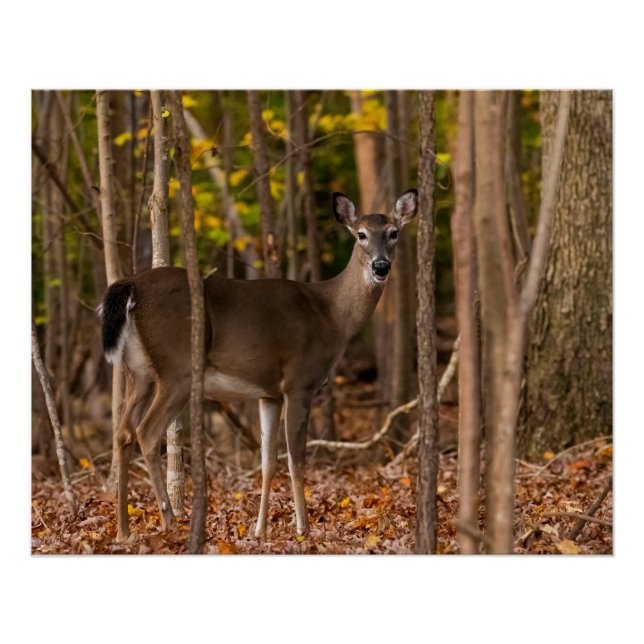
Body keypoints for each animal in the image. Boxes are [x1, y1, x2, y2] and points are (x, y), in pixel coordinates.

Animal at [98, 189, 418, 542]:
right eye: (361, 234)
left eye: (393, 232)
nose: (381, 266)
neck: (333, 314)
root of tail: (132, 286)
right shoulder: (300, 381)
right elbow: (296, 459)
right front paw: (303, 529)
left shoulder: (269, 393)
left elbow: (268, 462)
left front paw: (259, 529)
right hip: (177, 369)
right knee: (147, 431)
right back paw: (170, 521)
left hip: (138, 372)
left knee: (123, 432)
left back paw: (123, 531)